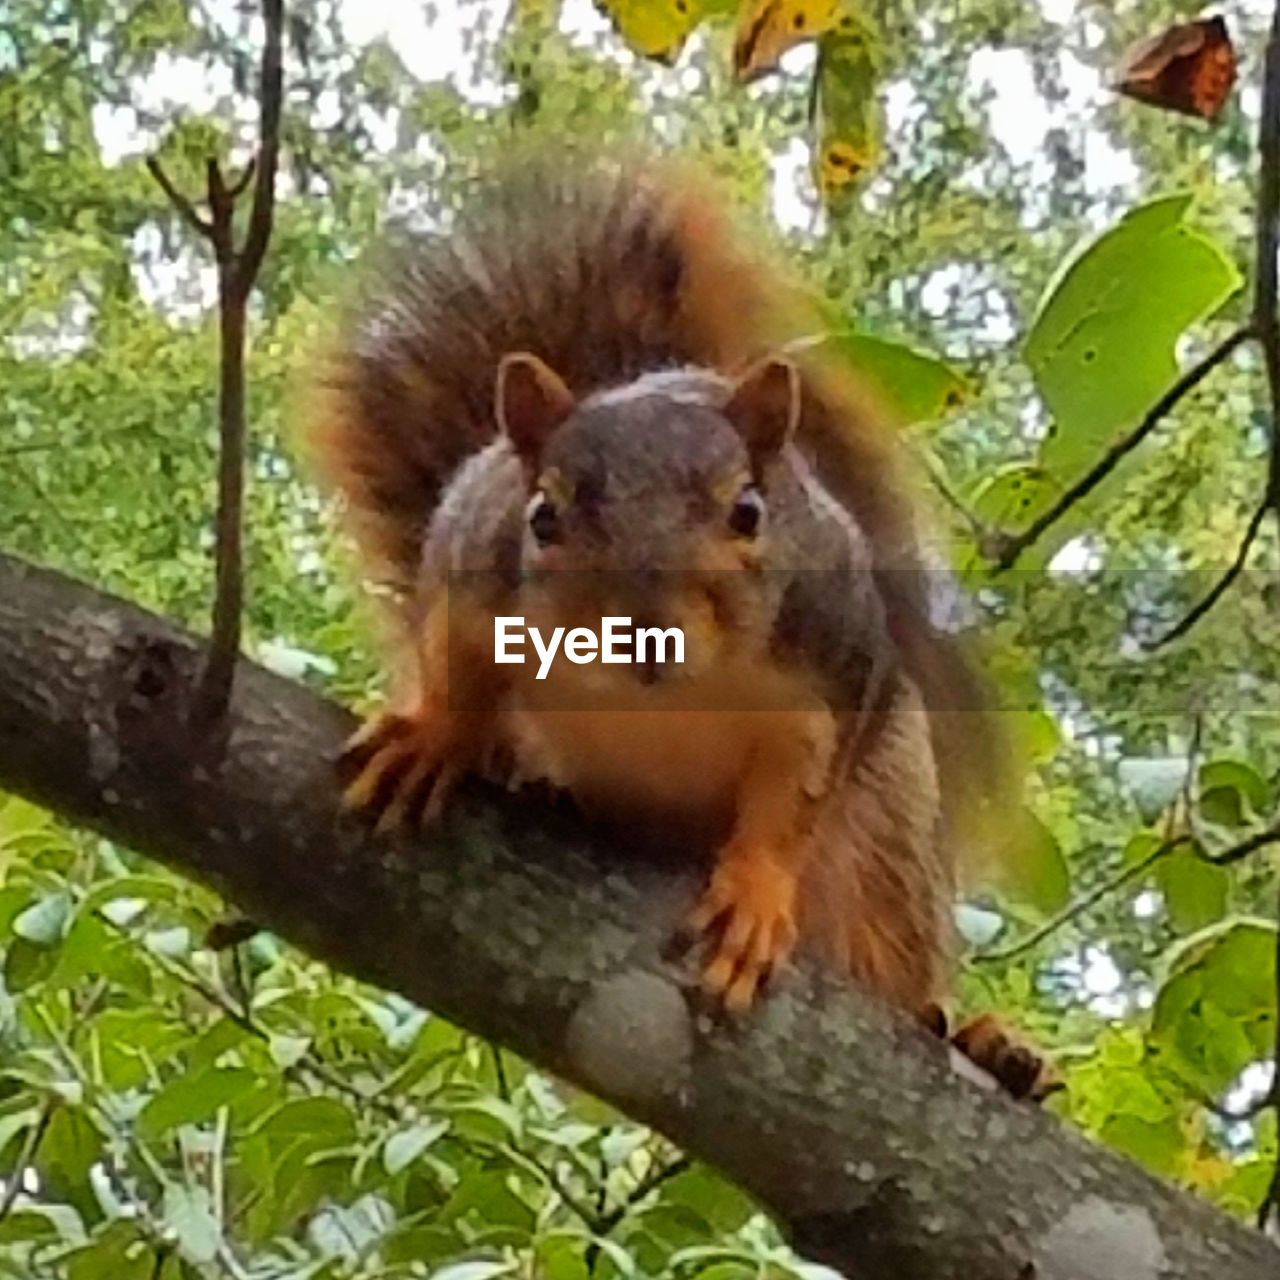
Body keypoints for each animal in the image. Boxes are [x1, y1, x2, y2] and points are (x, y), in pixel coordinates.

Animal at [307, 147, 1049, 1100]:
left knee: (893, 961)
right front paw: (434, 736)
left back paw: (984, 1044)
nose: (642, 630)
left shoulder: (835, 662)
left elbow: (793, 799)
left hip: (888, 839)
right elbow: (459, 665)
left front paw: (756, 893)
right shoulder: (474, 567)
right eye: (543, 516)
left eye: (748, 512)